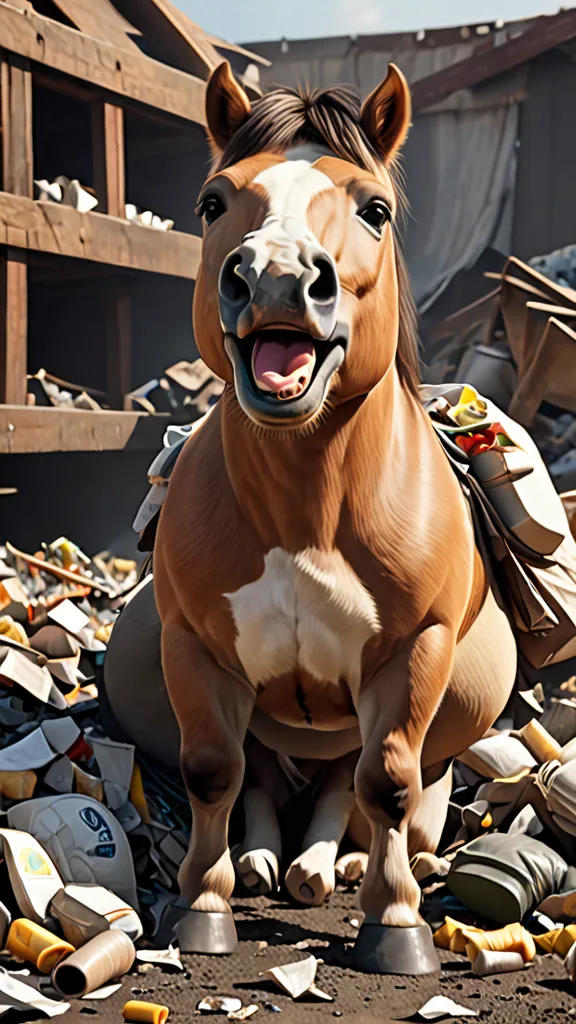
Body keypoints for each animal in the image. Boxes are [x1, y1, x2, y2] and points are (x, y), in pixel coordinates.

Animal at [152, 61, 519, 974]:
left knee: (365, 796)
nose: (277, 276)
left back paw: (338, 867)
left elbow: (385, 782)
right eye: (214, 201)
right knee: (273, 783)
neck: (305, 510)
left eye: (374, 209)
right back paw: (265, 860)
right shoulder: (193, 646)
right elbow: (213, 769)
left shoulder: (412, 651)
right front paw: (201, 904)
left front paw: (396, 924)